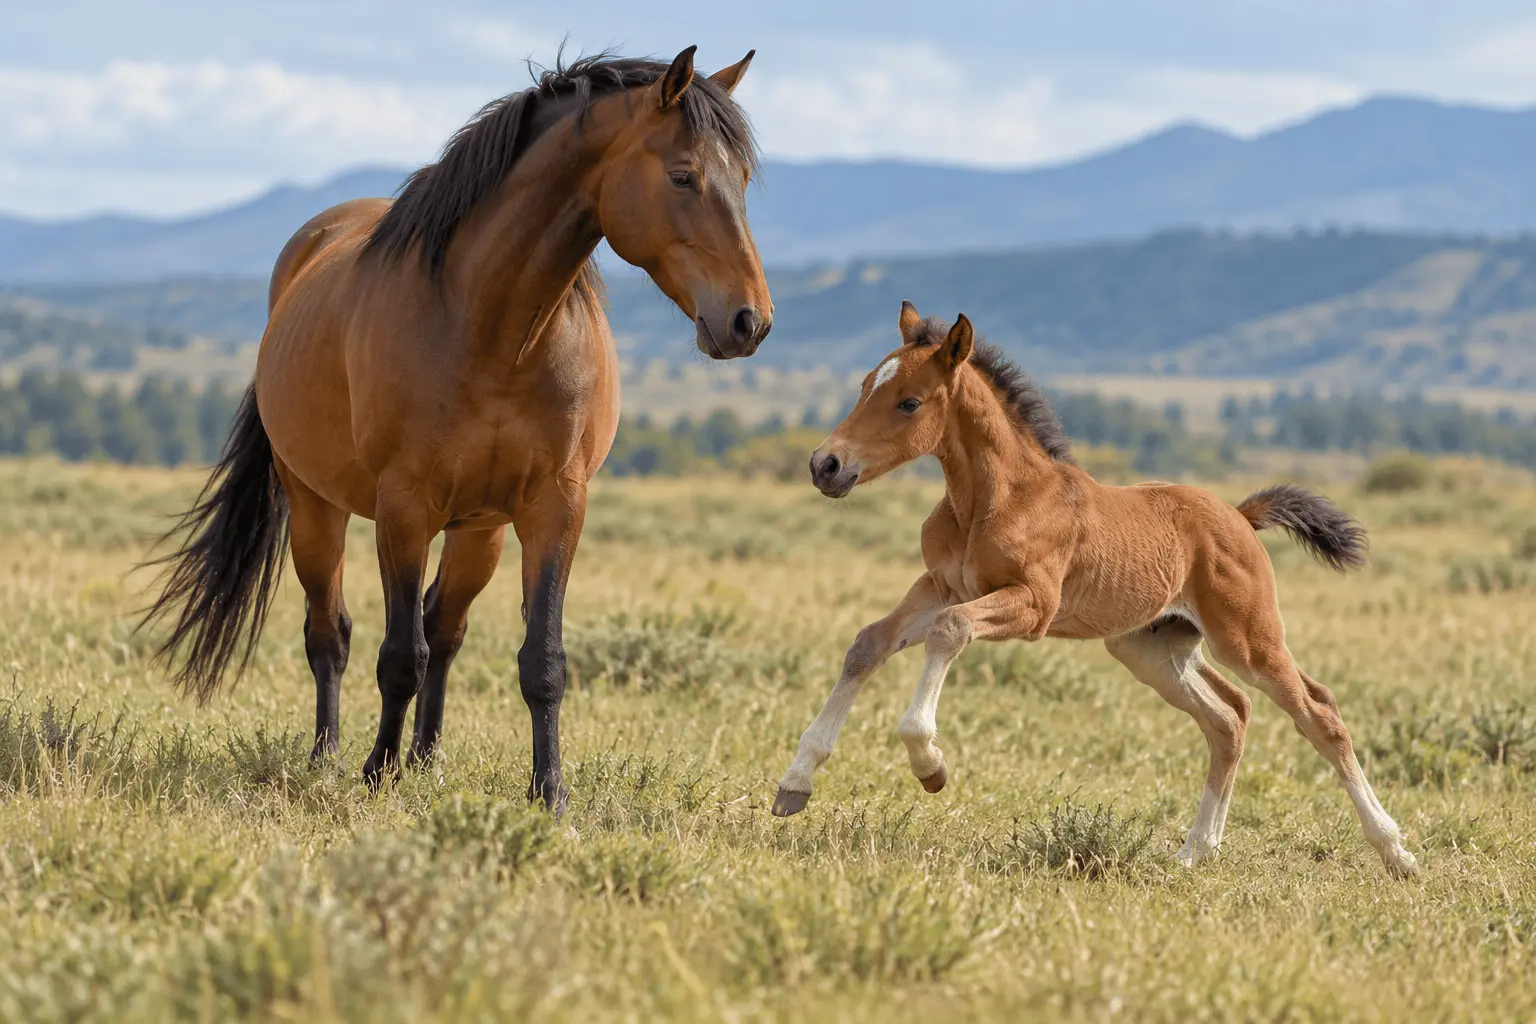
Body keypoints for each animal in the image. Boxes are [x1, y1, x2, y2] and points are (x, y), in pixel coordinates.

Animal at [140, 47, 772, 809]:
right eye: (683, 175)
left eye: (743, 181)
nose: (749, 321)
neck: (492, 330)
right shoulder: (403, 508)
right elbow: (397, 655)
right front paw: (377, 771)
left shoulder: (553, 508)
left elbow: (539, 660)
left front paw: (548, 793)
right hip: (316, 509)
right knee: (331, 634)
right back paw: (329, 755)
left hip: (480, 531)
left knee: (444, 627)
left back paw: (427, 757)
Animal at [771, 301, 1418, 878]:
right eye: (864, 385)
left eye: (909, 401)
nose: (826, 465)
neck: (996, 498)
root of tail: (1239, 515)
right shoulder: (938, 585)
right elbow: (868, 644)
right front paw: (795, 783)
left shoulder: (1031, 605)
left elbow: (948, 634)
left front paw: (929, 764)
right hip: (1152, 646)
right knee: (1229, 717)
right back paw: (1194, 853)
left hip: (1246, 637)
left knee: (1319, 712)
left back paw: (1396, 853)